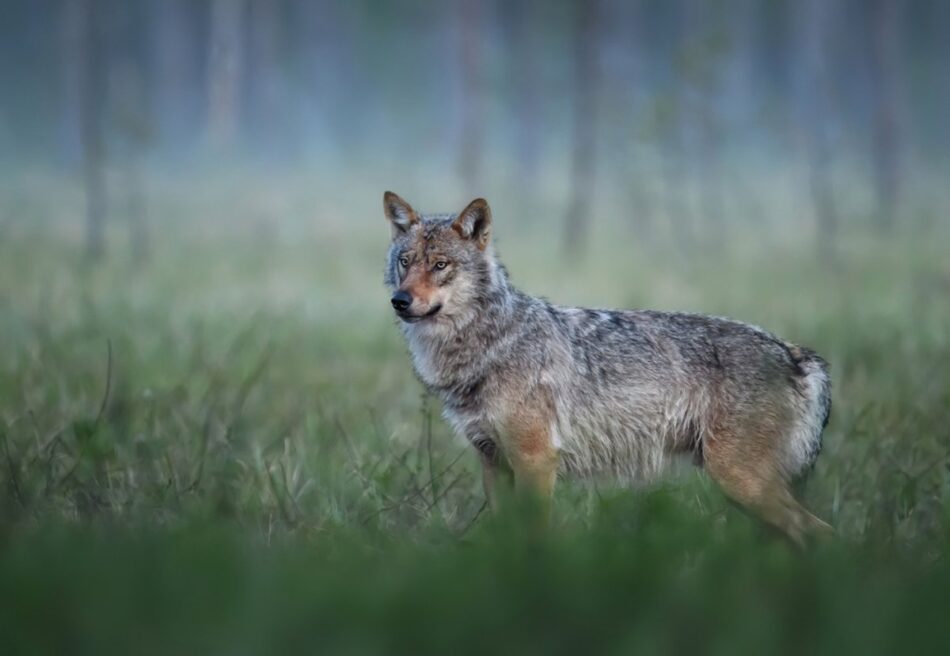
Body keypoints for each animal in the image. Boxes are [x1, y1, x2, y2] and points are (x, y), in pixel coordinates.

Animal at [382, 191, 833, 545]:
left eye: (440, 265)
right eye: (406, 261)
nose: (400, 301)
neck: (490, 343)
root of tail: (795, 353)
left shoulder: (535, 460)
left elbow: (534, 537)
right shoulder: (493, 463)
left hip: (742, 482)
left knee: (822, 532)